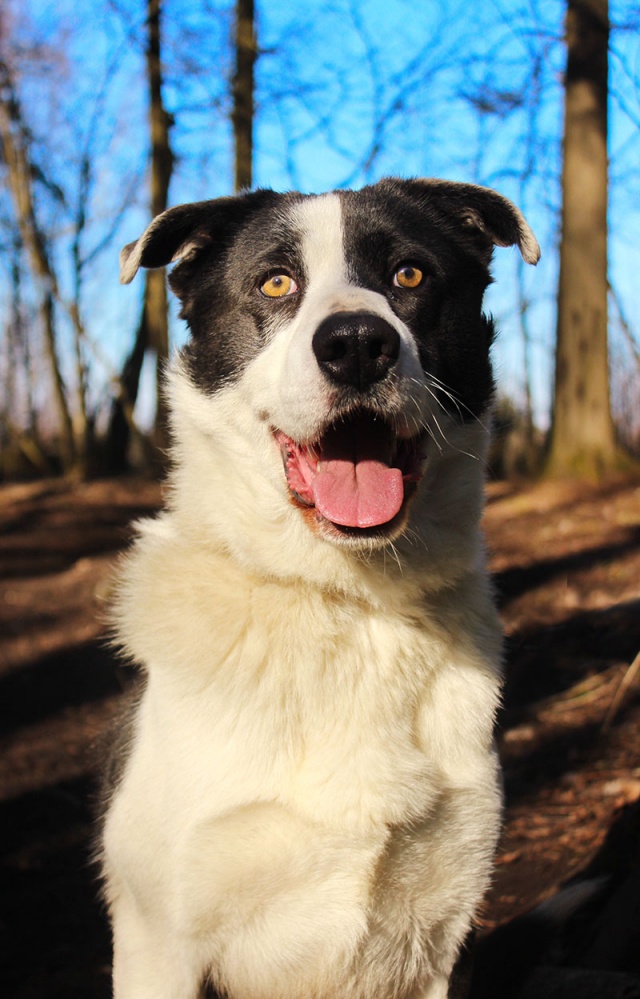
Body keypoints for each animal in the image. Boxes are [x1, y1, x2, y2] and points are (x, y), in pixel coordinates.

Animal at [100, 178, 539, 999]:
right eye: (276, 283)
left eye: (410, 275)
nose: (357, 344)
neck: (349, 602)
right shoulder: (158, 943)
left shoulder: (439, 940)